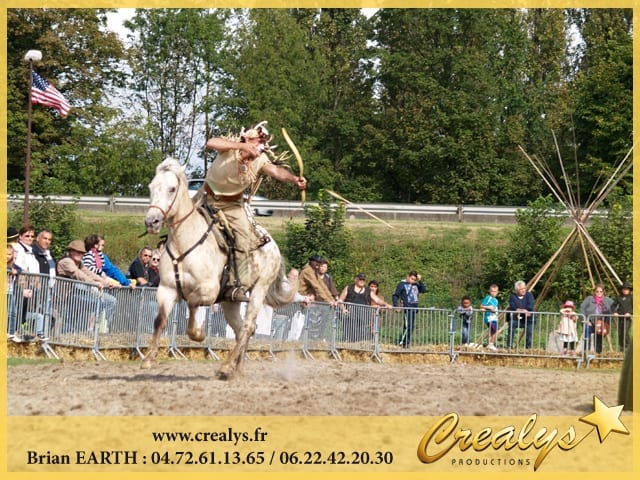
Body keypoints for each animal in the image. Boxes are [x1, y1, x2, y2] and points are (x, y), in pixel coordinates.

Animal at [142, 158, 296, 378]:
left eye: (172, 189)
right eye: (151, 187)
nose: (152, 221)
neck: (184, 241)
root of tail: (273, 244)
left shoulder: (209, 290)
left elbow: (192, 304)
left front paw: (199, 333)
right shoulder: (167, 289)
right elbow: (160, 320)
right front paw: (148, 359)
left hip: (259, 289)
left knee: (248, 325)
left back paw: (226, 365)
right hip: (230, 302)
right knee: (241, 329)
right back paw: (236, 369)